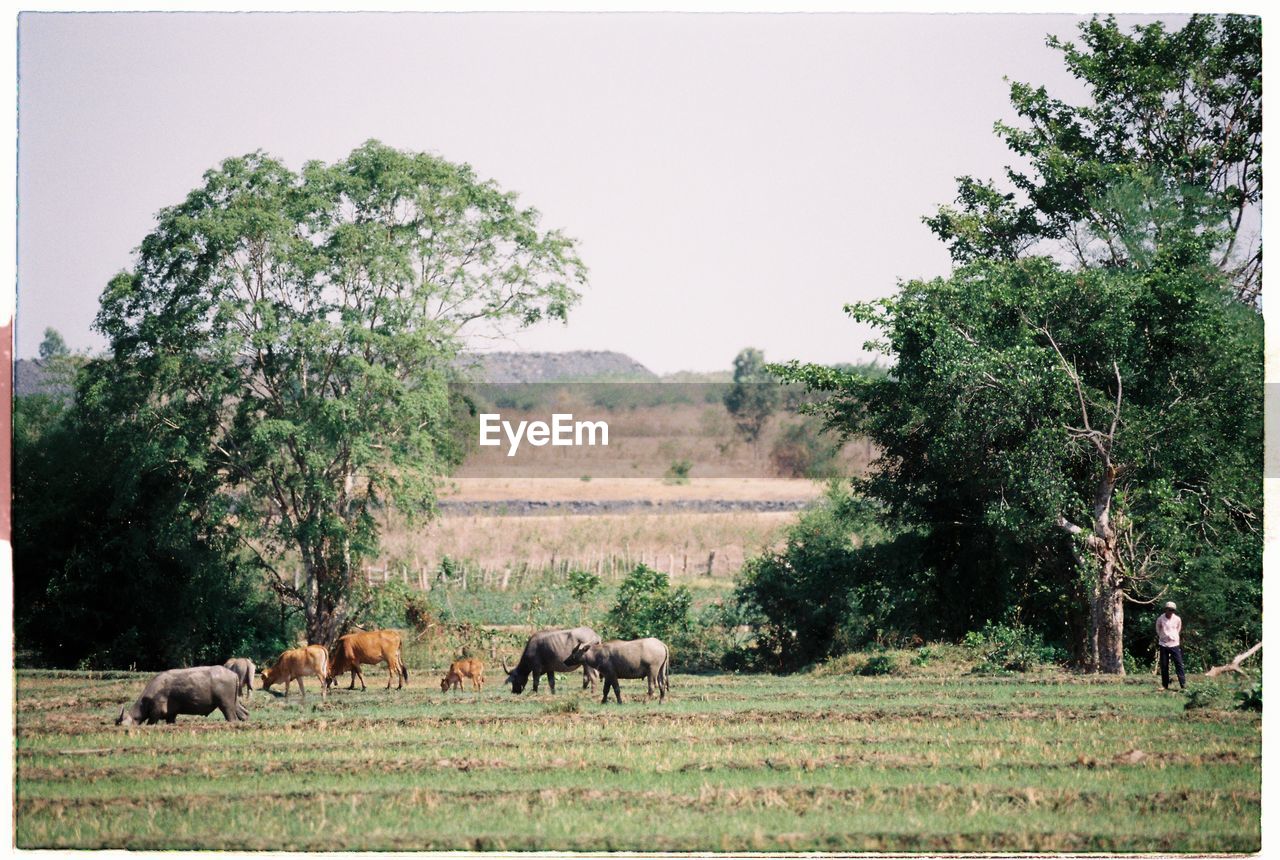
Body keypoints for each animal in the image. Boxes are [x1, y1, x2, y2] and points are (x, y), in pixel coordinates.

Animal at [115, 665, 247, 726]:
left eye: (120, 724)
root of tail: (233, 674)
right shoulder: (171, 715)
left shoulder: (155, 713)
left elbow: (150, 722)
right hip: (234, 702)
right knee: (244, 713)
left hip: (225, 704)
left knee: (232, 718)